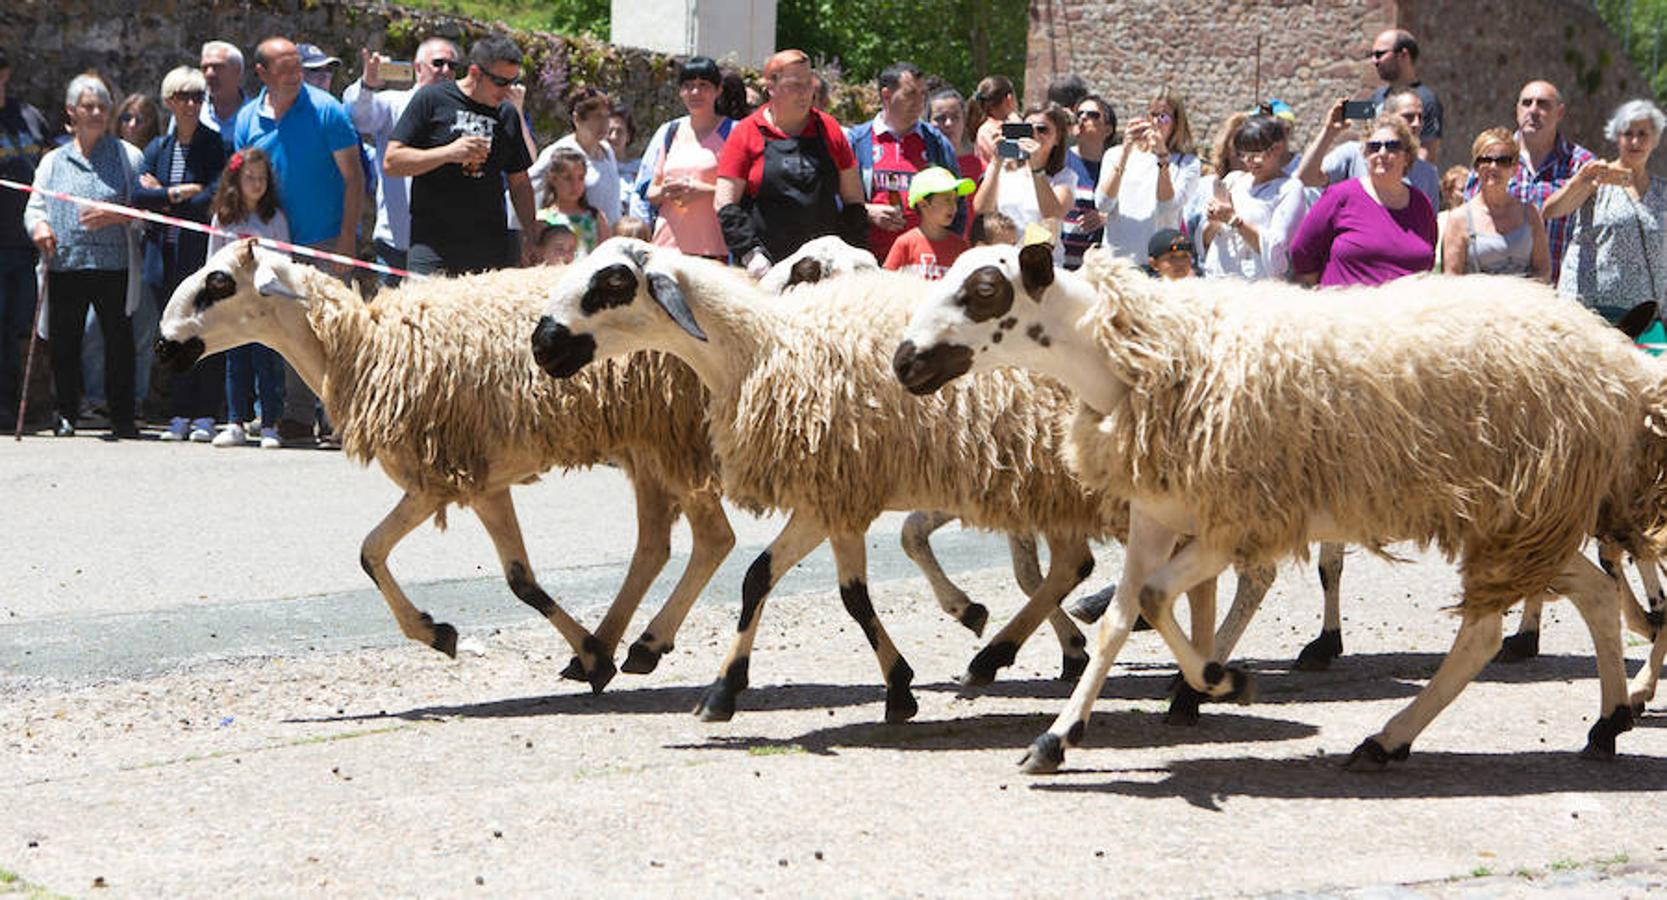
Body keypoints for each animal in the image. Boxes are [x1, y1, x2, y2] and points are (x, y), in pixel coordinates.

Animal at [155, 238, 736, 690]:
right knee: (654, 547)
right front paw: (585, 656)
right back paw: (612, 642)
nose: (161, 348)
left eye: (218, 283)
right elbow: (512, 578)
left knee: (713, 540)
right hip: (647, 446)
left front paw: (440, 634)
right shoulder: (478, 482)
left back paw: (647, 644)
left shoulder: (438, 480)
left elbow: (375, 554)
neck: (362, 349)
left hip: (673, 440)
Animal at [533, 238, 1146, 723]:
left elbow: (840, 594)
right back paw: (1004, 654)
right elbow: (775, 580)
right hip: (1051, 488)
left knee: (1079, 566)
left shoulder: (835, 489)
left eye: (613, 282)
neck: (759, 350)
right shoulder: (831, 496)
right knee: (1071, 565)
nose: (541, 344)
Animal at [893, 245, 1660, 773]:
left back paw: (1399, 736)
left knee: (1493, 630)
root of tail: (1612, 356)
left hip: (1520, 511)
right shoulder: (1158, 514)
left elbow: (1153, 600)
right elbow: (1116, 620)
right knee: (1588, 597)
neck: (1137, 359)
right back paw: (1601, 724)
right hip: (1525, 519)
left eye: (984, 291)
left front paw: (1220, 680)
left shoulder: (1235, 520)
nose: (903, 362)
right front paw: (1055, 738)